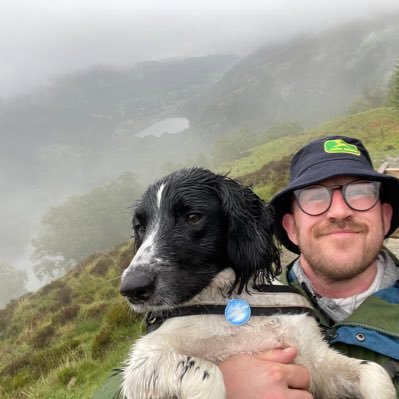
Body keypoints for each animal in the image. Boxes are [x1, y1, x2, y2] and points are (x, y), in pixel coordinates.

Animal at [120, 168, 396, 399]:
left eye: (193, 217)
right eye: (140, 226)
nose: (132, 289)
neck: (233, 303)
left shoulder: (312, 360)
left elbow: (374, 371)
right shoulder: (144, 357)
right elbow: (207, 372)